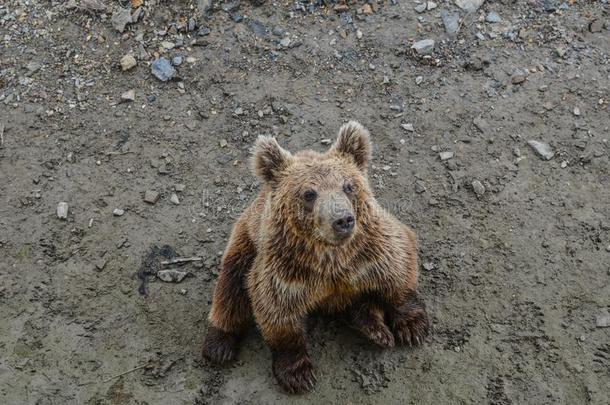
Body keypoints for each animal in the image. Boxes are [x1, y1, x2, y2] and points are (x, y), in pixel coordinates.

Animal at [201, 120, 428, 392]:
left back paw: (376, 331)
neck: (330, 256)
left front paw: (413, 327)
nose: (342, 220)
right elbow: (277, 311)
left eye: (348, 186)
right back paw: (219, 345)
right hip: (244, 241)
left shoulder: (370, 251)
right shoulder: (286, 269)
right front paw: (298, 374)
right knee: (230, 285)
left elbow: (398, 270)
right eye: (309, 193)